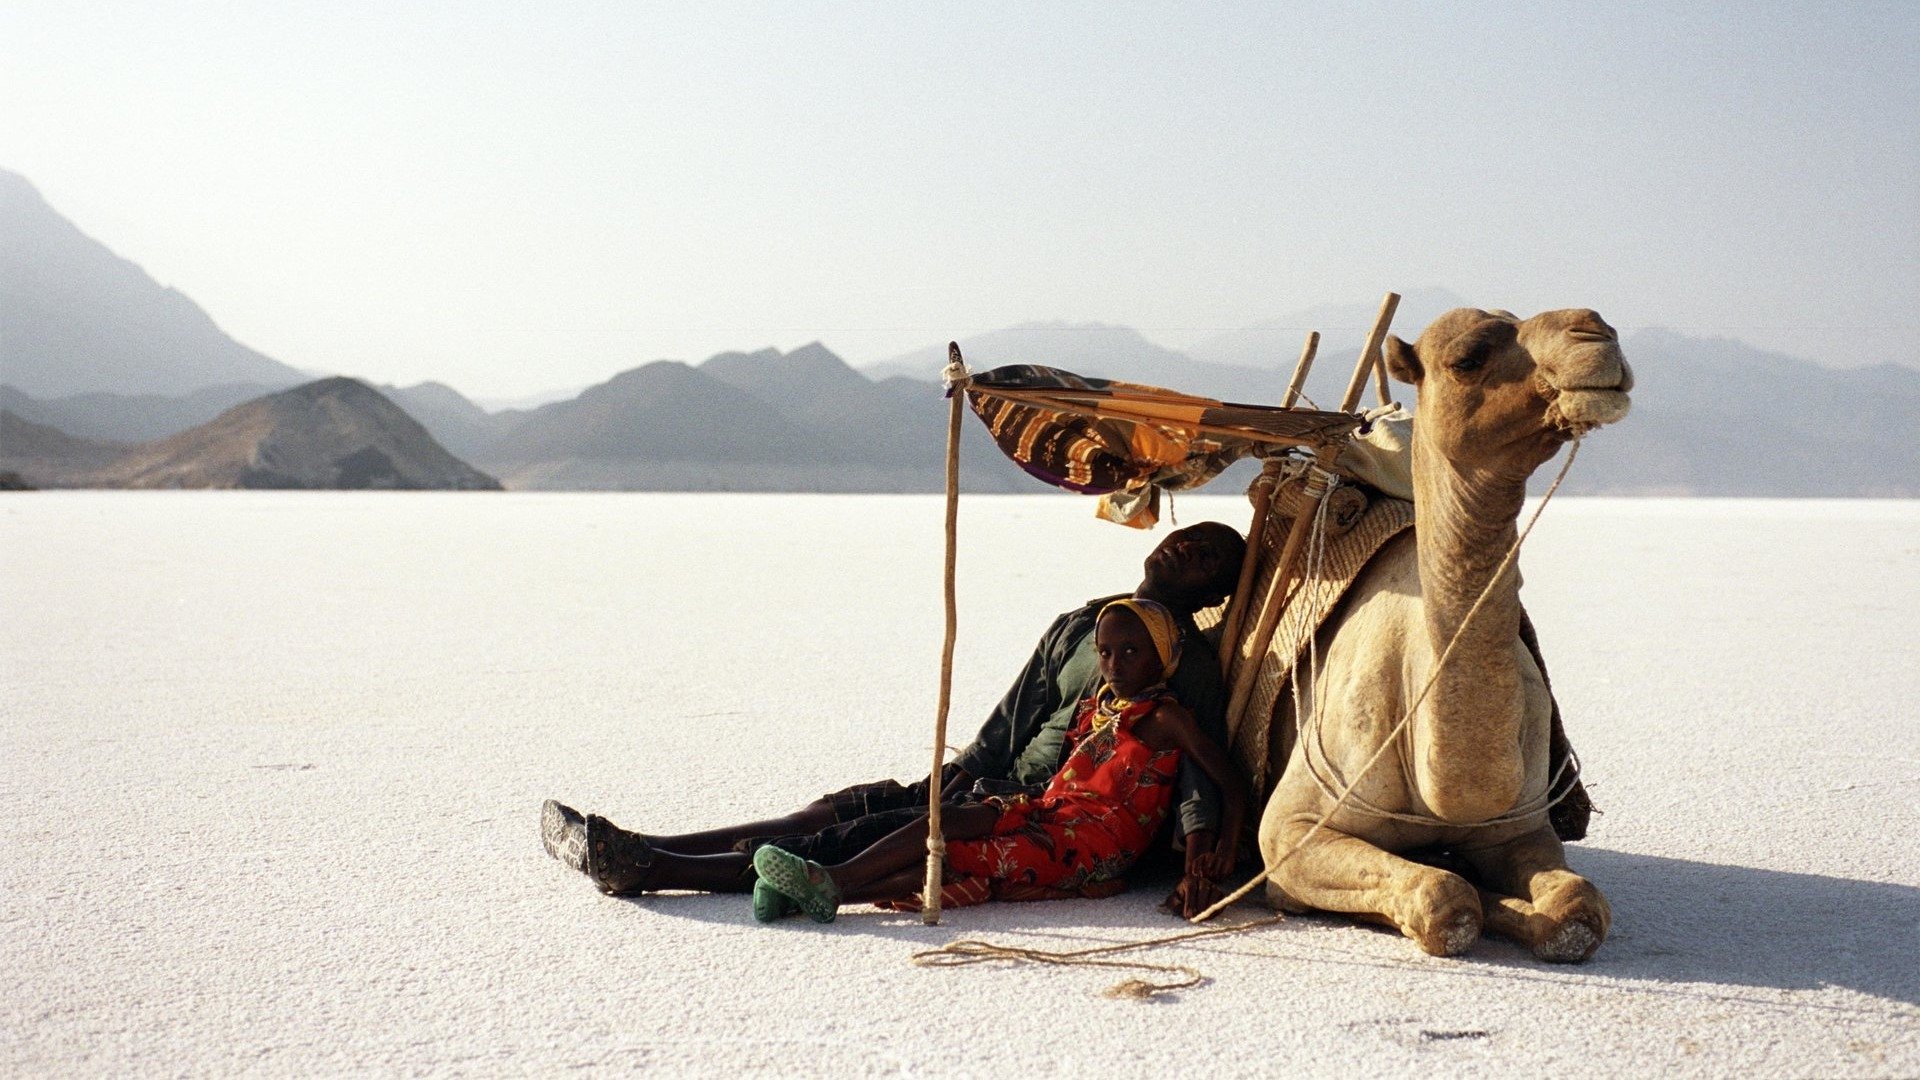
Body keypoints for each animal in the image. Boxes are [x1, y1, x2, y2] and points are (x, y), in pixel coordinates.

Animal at [1259, 303, 1635, 957]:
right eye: (1467, 358)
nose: (1595, 331)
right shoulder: (1291, 828)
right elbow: (1445, 898)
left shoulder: (1520, 827)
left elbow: (1577, 906)